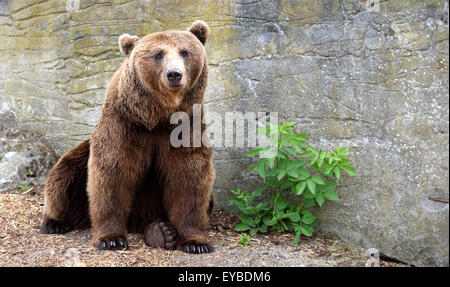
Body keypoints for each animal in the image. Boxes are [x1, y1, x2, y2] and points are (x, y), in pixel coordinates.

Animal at [39, 20, 215, 254]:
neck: (159, 117)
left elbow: (188, 178)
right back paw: (54, 223)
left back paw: (161, 232)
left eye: (185, 52)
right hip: (79, 162)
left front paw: (196, 242)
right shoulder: (124, 126)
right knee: (62, 178)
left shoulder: (185, 128)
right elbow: (113, 174)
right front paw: (111, 239)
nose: (174, 74)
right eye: (158, 54)